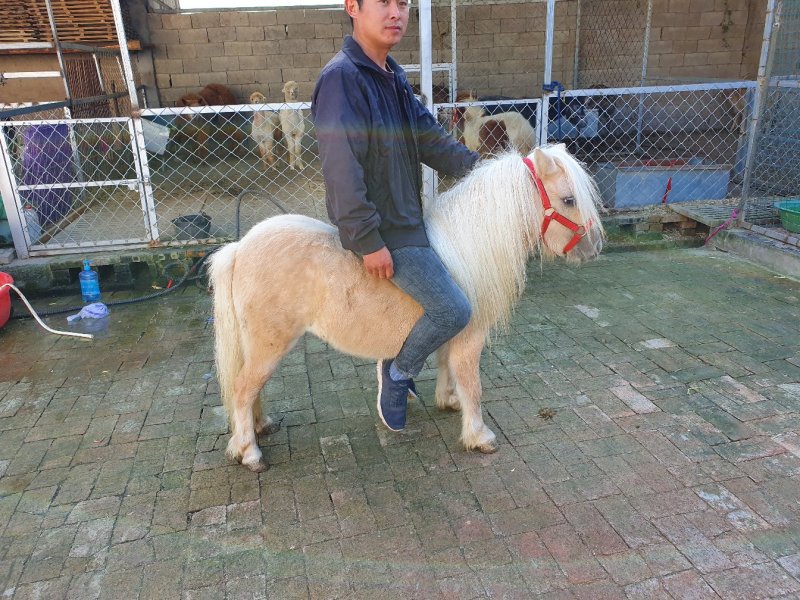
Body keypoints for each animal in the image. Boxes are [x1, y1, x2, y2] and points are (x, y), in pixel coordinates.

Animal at [210, 144, 604, 472]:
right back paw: (249, 452)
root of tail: (239, 248)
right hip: (270, 345)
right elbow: (472, 385)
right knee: (243, 389)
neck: (464, 250)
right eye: (569, 199)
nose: (594, 248)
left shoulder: (450, 331)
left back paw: (259, 429)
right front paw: (478, 435)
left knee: (248, 389)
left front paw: (448, 401)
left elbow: (447, 367)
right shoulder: (469, 338)